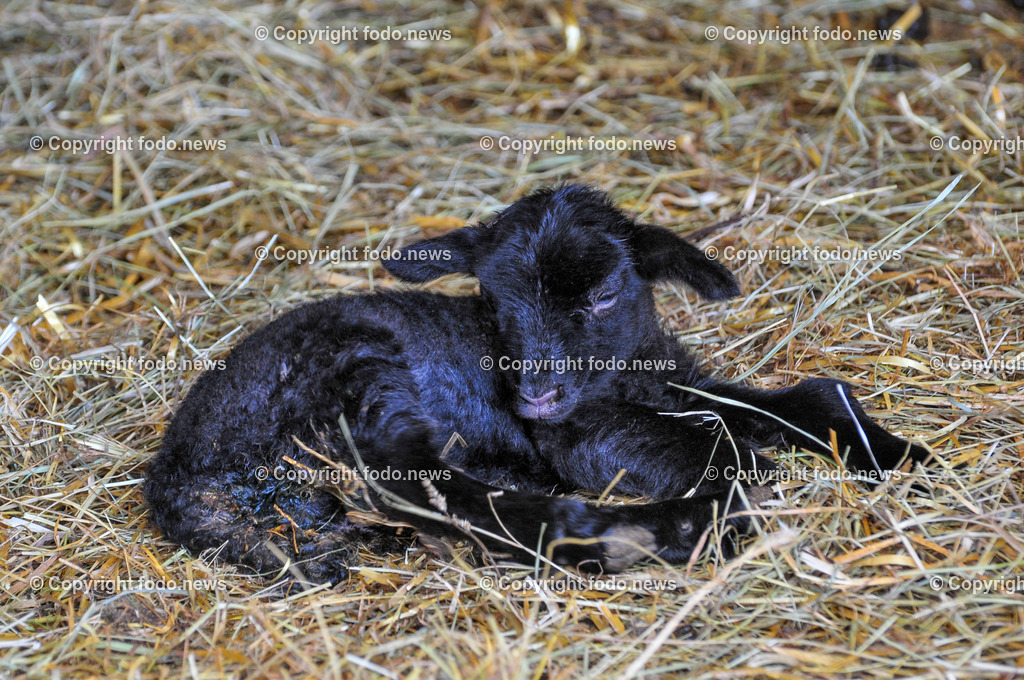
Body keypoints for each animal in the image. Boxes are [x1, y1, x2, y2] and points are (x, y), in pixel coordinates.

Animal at [144, 184, 927, 583]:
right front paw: (736, 497)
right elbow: (727, 455)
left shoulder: (681, 384)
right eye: (495, 301)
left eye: (606, 294)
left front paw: (893, 453)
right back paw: (628, 536)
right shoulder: (580, 437)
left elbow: (803, 400)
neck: (623, 380)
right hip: (356, 368)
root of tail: (178, 475)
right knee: (423, 486)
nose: (533, 397)